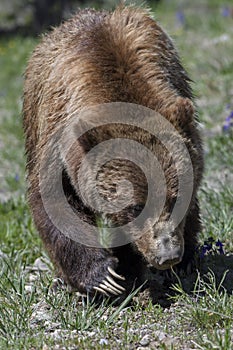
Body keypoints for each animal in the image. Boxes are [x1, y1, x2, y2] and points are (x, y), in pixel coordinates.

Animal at [22, 5, 203, 296]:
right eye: (136, 206)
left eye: (175, 197)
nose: (167, 256)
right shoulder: (57, 138)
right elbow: (54, 201)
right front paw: (102, 276)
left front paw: (183, 262)